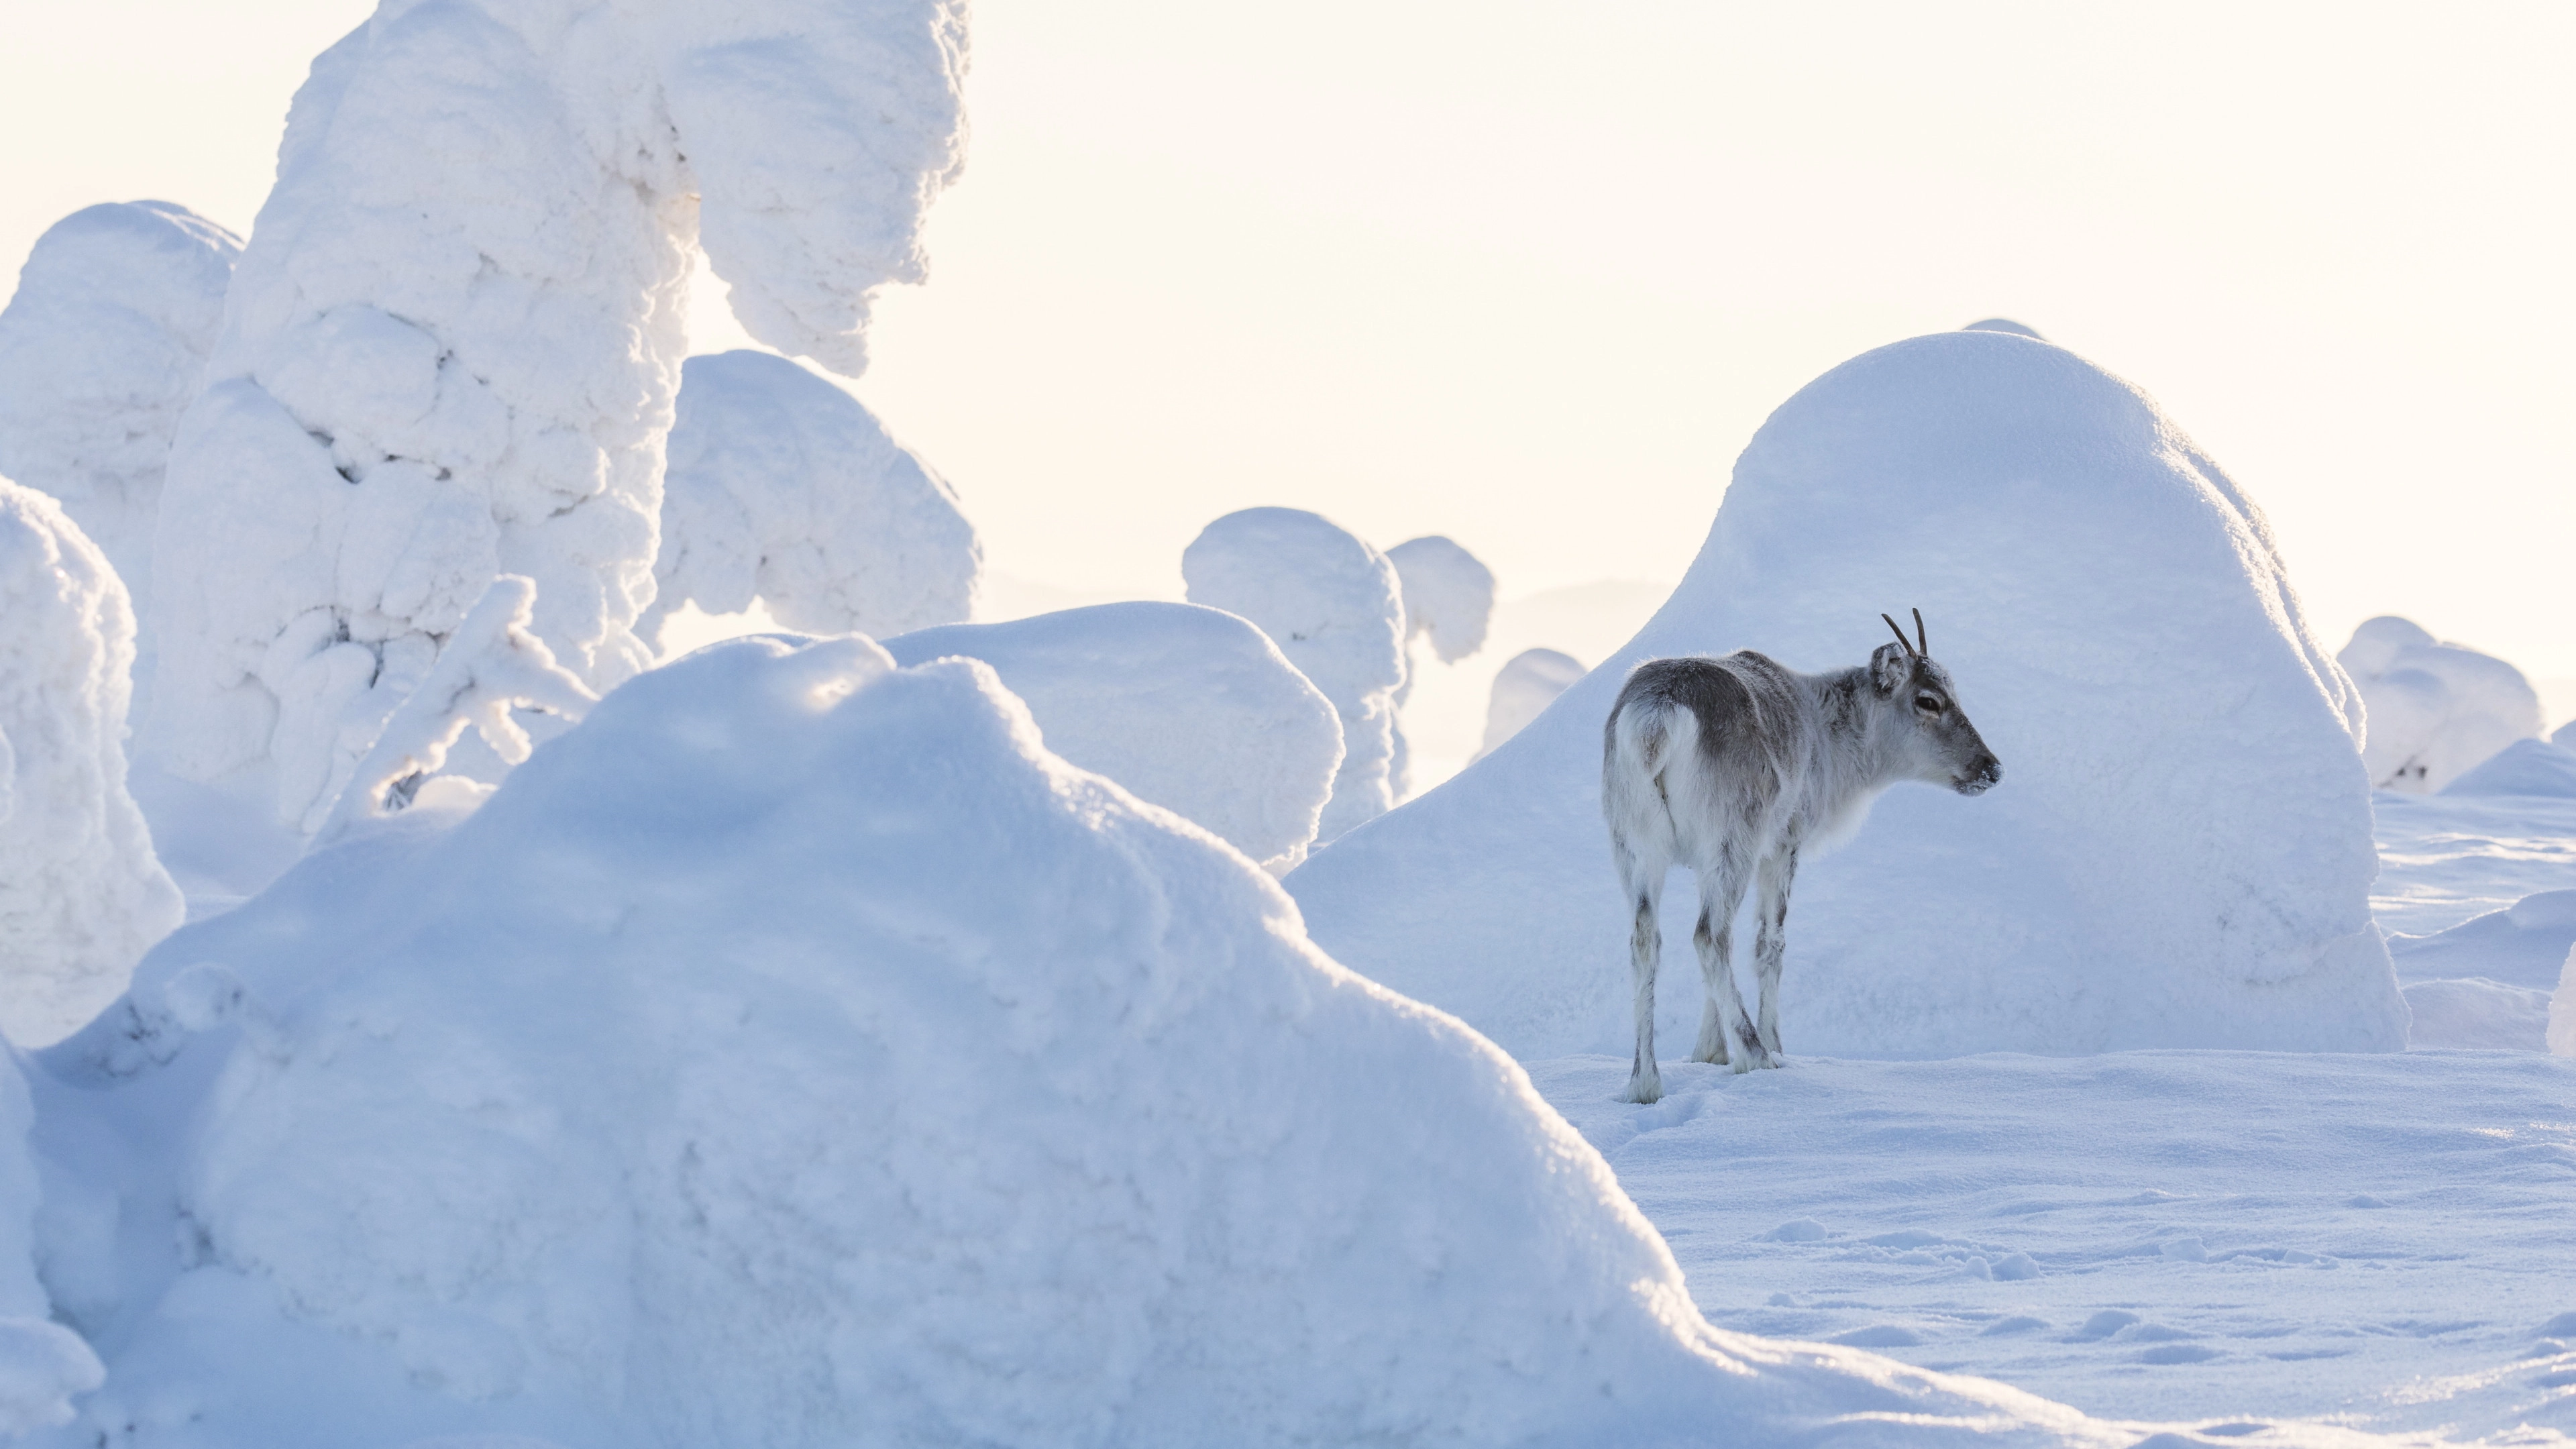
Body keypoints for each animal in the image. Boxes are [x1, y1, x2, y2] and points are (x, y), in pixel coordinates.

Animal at [1601, 610, 2002, 1103]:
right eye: (1928, 700)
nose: (1992, 767)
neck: (1831, 740)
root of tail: (1657, 716)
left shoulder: (1694, 861)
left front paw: (1708, 1053)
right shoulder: (1784, 845)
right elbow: (1770, 944)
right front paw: (1769, 1045)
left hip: (1635, 846)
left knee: (1647, 941)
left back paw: (1644, 1083)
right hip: (1733, 838)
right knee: (1710, 936)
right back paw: (1759, 1057)